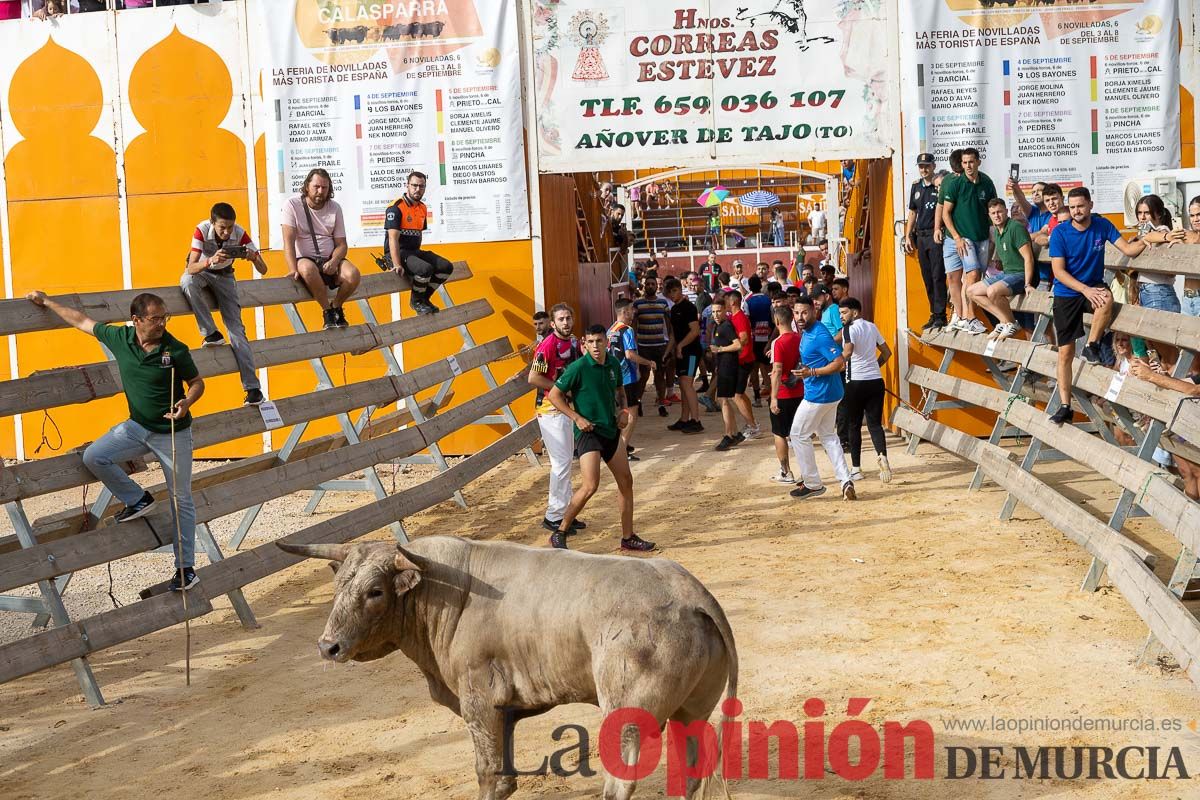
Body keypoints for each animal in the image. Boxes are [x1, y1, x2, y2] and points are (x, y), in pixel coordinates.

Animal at [276, 534, 734, 800]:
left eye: (374, 591)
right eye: (338, 586)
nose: (328, 646)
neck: (447, 594)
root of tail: (691, 593)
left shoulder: (478, 701)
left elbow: (487, 772)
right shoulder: (505, 710)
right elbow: (505, 775)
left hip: (626, 714)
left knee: (621, 781)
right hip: (690, 712)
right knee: (691, 771)